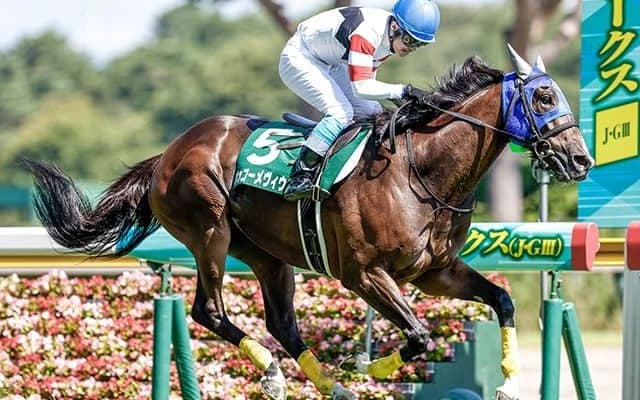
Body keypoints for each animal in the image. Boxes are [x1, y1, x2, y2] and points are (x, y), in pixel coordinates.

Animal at [22, 46, 593, 400]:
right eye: (543, 97)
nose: (580, 159)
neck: (421, 170)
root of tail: (170, 152)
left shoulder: (436, 272)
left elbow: (501, 300)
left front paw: (507, 382)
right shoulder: (364, 273)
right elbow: (418, 337)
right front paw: (363, 366)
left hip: (267, 255)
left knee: (282, 323)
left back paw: (325, 383)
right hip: (209, 232)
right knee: (209, 311)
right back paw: (281, 373)